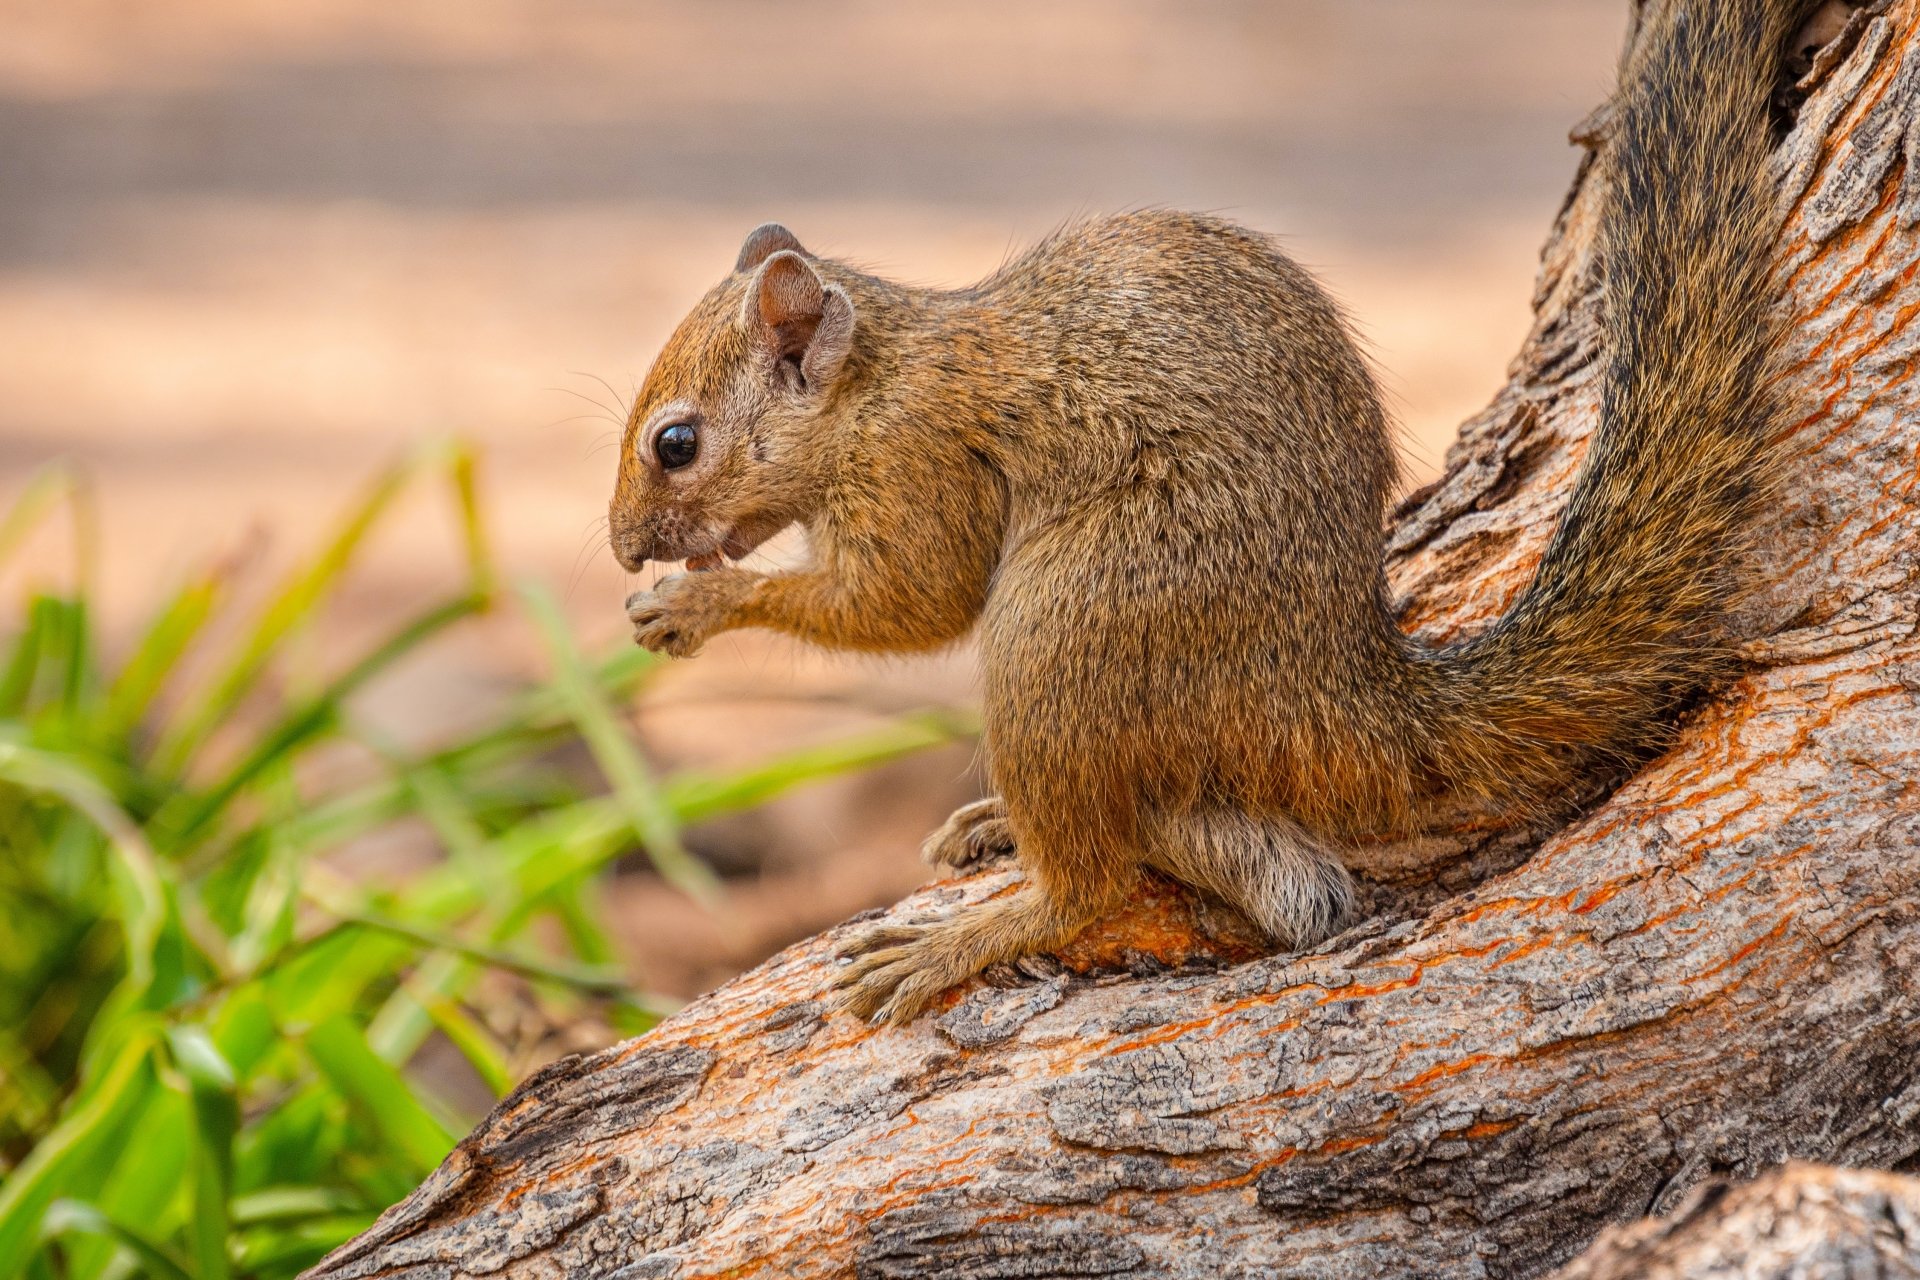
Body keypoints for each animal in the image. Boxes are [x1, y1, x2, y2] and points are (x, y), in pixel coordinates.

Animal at [608, 0, 1811, 1024]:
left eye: (676, 443)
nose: (620, 549)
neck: (874, 382)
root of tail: (1329, 690)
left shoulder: (920, 469)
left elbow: (908, 604)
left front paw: (698, 604)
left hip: (1066, 625)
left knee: (1090, 883)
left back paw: (964, 933)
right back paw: (1012, 826)